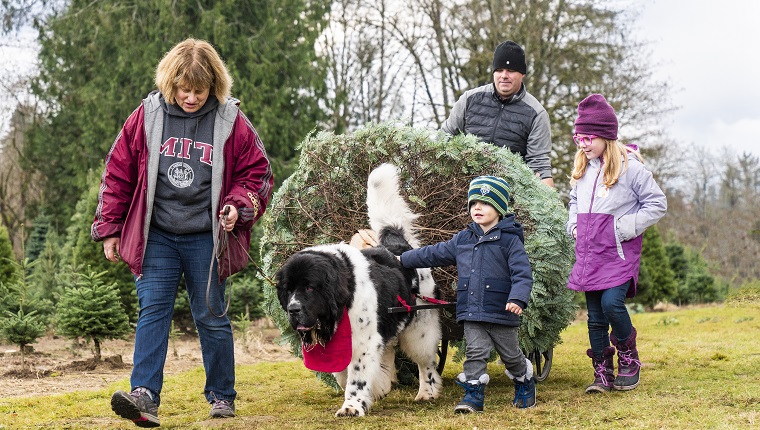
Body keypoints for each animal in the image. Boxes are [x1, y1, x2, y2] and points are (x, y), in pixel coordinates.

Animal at [276, 162, 442, 416]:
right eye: (288, 289)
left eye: (310, 288)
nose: (293, 310)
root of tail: (400, 246)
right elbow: (343, 374)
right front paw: (370, 392)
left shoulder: (363, 341)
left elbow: (356, 376)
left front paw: (352, 406)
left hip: (419, 328)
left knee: (426, 362)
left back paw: (427, 392)